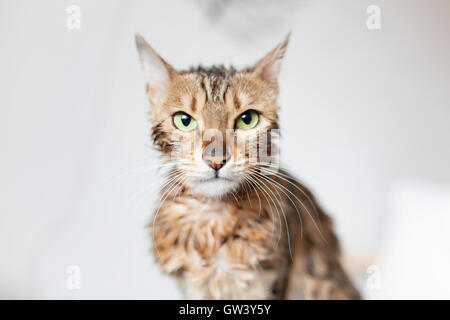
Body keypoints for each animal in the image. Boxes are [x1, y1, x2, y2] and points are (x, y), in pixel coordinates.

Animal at [135, 33, 360, 300]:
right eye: (184, 121)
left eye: (247, 119)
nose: (216, 159)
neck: (213, 218)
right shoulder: (191, 287)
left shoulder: (269, 282)